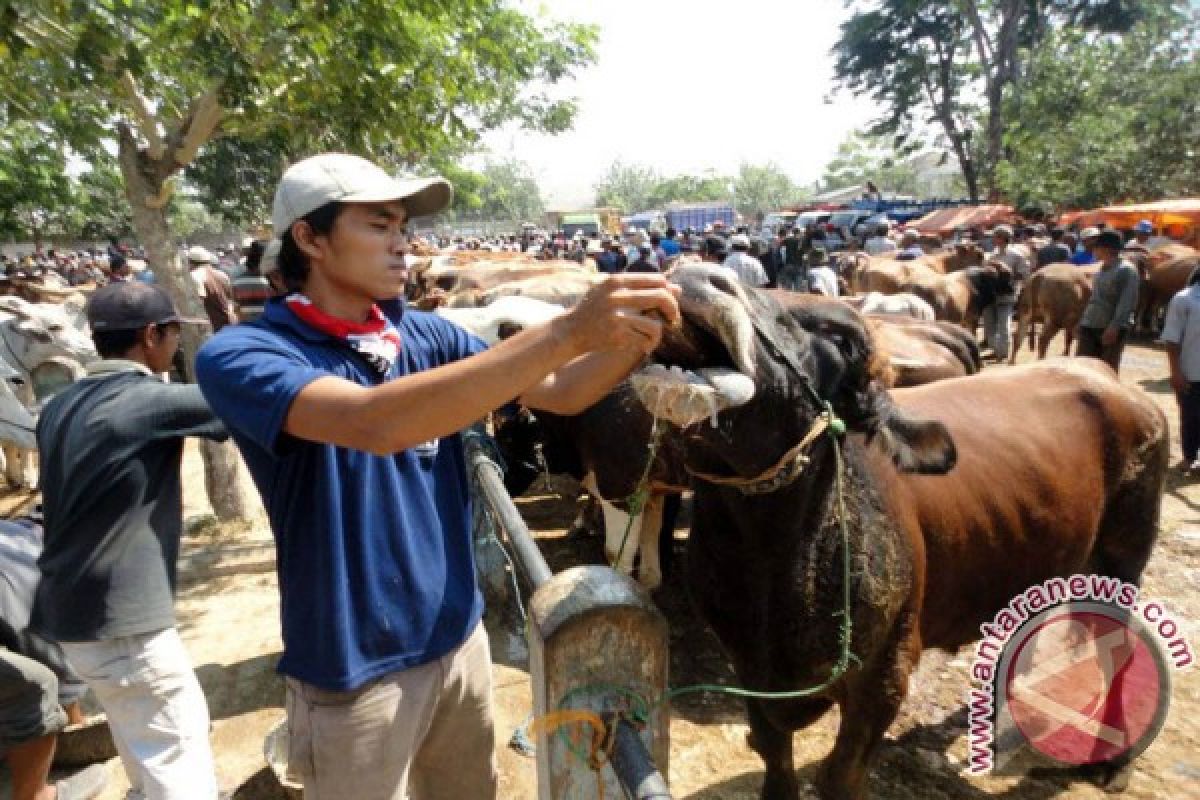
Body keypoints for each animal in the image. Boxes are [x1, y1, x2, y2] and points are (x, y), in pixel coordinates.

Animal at [628, 266, 1161, 796]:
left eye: (842, 339)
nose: (700, 275)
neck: (768, 565)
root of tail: (1103, 373)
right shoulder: (748, 669)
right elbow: (775, 758)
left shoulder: (884, 675)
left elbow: (838, 775)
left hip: (1121, 561)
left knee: (1118, 648)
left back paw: (1114, 760)